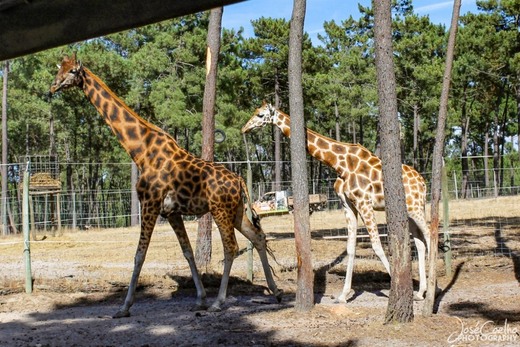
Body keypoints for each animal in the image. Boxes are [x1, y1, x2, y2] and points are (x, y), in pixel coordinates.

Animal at [50, 53, 282, 318]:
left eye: (72, 71)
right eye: (59, 69)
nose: (52, 87)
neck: (140, 151)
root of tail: (240, 181)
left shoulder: (149, 203)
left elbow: (139, 255)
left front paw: (124, 307)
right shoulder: (171, 212)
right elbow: (187, 252)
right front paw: (200, 298)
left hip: (220, 210)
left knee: (231, 247)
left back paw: (219, 302)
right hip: (235, 211)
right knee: (258, 237)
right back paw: (275, 292)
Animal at [242, 102, 428, 304]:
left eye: (260, 115)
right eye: (254, 112)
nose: (244, 128)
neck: (340, 165)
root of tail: (422, 182)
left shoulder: (364, 202)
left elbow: (377, 246)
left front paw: (395, 286)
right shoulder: (348, 204)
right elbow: (350, 248)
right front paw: (343, 295)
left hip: (417, 208)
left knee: (429, 233)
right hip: (409, 212)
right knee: (420, 241)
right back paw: (421, 292)